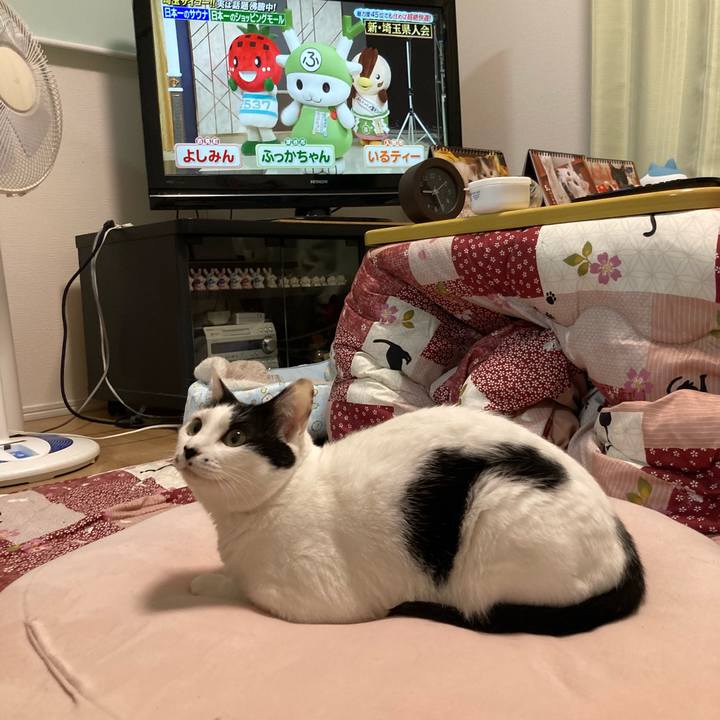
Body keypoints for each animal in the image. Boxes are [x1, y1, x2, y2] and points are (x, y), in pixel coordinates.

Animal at [175, 378, 645, 636]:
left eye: (235, 438)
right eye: (195, 425)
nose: (189, 449)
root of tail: (628, 555)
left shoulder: (316, 600)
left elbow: (247, 592)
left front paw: (207, 583)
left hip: (494, 502)